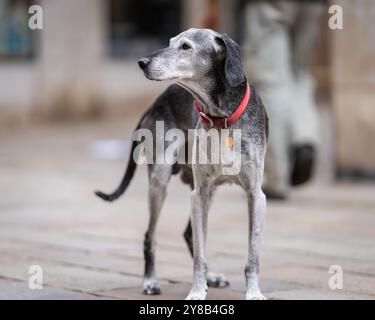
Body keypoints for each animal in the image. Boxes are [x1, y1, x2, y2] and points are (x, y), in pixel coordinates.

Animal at [95, 28, 268, 300]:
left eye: (186, 47)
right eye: (170, 42)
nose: (142, 62)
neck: (221, 118)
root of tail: (155, 103)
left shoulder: (255, 195)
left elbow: (253, 255)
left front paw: (253, 292)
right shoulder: (199, 194)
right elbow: (199, 256)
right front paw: (197, 291)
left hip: (208, 191)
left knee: (190, 235)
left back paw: (211, 278)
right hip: (161, 181)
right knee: (152, 235)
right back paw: (150, 281)